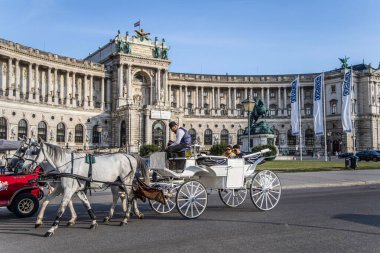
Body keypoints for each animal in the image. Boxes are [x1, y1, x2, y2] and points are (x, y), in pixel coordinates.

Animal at [21, 140, 150, 237]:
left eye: (33, 152)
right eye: (24, 150)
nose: (24, 169)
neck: (67, 165)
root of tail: (129, 155)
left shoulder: (69, 190)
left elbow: (61, 209)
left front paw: (52, 229)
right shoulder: (66, 188)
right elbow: (47, 201)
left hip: (126, 181)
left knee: (130, 196)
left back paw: (126, 218)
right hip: (116, 182)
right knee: (119, 196)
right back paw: (113, 216)